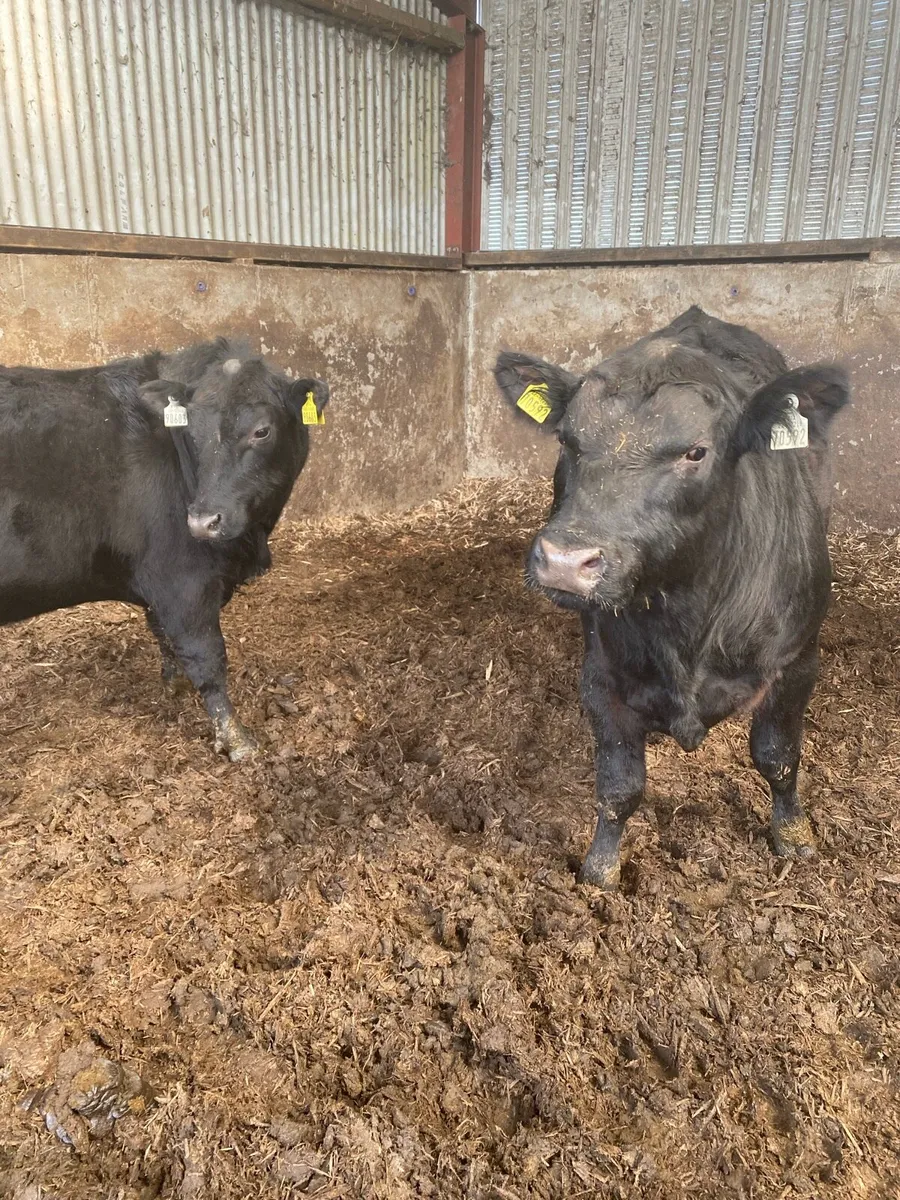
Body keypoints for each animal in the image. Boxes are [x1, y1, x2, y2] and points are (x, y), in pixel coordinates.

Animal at [0, 339, 328, 761]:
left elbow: (163, 634)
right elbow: (207, 657)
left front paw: (175, 685)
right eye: (192, 431)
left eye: (261, 431)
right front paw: (238, 741)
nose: (204, 521)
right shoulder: (183, 581)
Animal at [494, 307, 849, 888]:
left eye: (695, 452)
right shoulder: (601, 675)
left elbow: (778, 756)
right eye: (566, 439)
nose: (566, 561)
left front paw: (793, 833)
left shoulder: (799, 660)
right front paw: (600, 870)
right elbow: (619, 786)